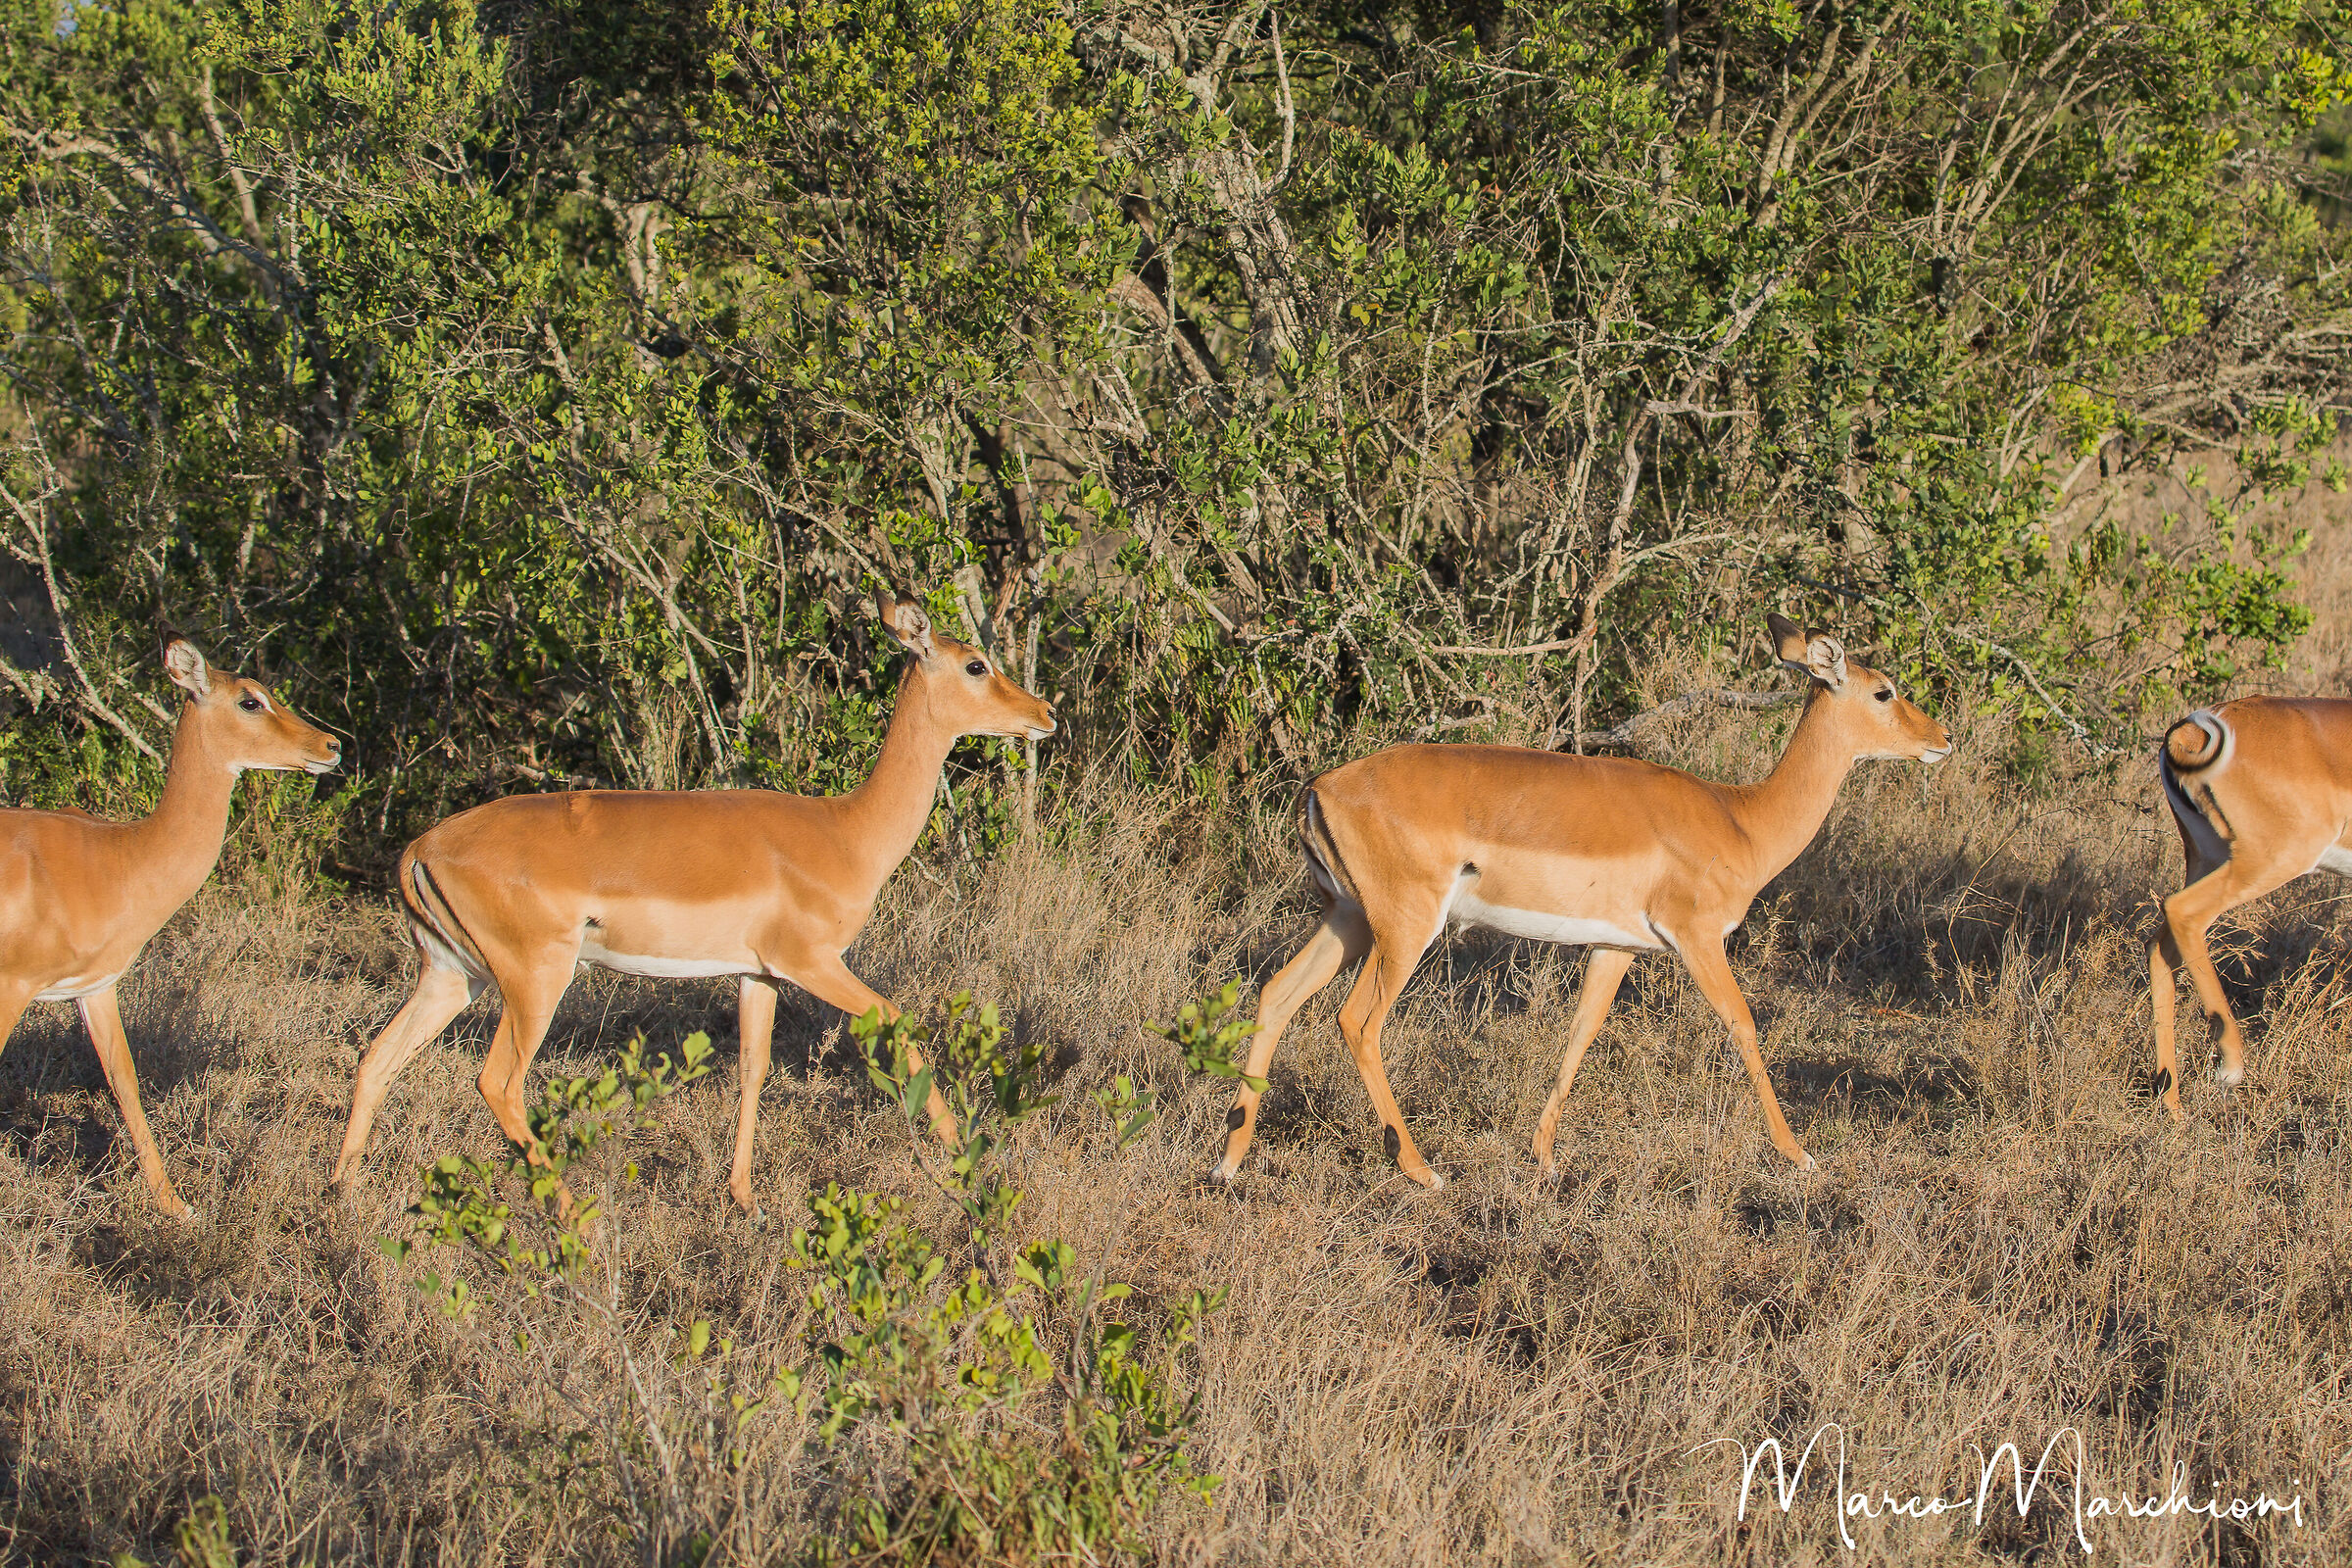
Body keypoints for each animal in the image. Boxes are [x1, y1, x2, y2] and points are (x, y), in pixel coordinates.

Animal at [0, 640, 342, 1216]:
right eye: (250, 700)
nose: (331, 745)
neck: (118, 859)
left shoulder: (95, 988)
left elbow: (125, 1081)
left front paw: (175, 1206)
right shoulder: (13, 986)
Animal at [330, 592, 1056, 1210]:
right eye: (975, 663)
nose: (1045, 714)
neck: (846, 833)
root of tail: (421, 848)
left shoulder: (757, 973)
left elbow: (752, 1069)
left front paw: (743, 1198)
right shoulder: (812, 962)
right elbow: (900, 1021)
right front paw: (963, 1160)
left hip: (454, 976)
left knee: (377, 1059)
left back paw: (340, 1196)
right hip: (535, 977)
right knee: (497, 1082)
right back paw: (572, 1219)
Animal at [1210, 612, 1950, 1188]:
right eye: (1884, 690)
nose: (1943, 740)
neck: (1741, 820)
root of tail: (1320, 787)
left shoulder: (1616, 946)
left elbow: (1580, 1032)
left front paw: (1543, 1157)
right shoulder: (1698, 937)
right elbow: (1743, 1026)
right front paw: (1799, 1156)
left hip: (1349, 920)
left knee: (1276, 993)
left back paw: (1229, 1162)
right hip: (1404, 927)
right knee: (1357, 1021)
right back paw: (1422, 1170)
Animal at [2149, 698, 2352, 1116]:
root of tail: (2195, 728)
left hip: (2208, 857)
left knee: (2159, 947)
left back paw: (2172, 1105)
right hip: (2272, 860)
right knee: (2181, 912)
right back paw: (2230, 1064)